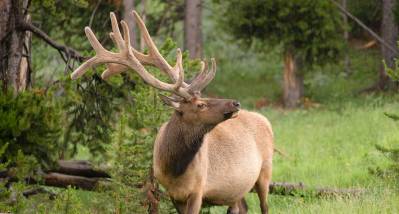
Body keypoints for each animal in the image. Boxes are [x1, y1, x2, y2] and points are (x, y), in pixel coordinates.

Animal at [70, 10, 274, 214]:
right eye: (201, 104)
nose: (235, 103)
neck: (174, 169)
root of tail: (266, 120)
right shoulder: (173, 194)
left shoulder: (198, 190)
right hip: (238, 190)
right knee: (242, 207)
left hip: (266, 170)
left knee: (264, 206)